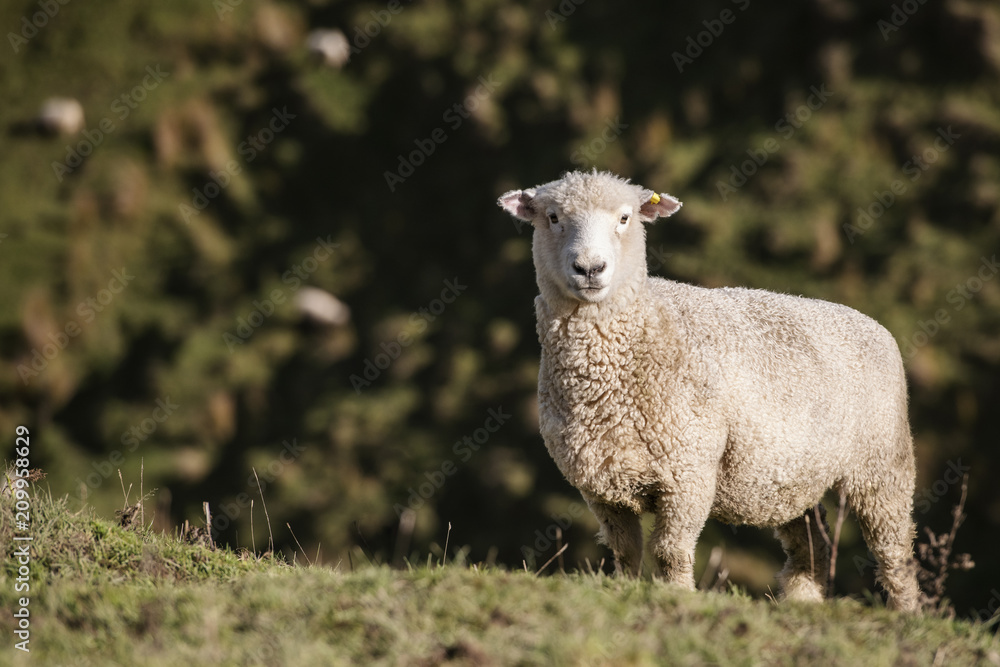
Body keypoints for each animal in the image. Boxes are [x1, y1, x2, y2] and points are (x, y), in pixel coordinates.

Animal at [500, 171, 920, 612]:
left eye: (625, 218)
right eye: (552, 217)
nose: (590, 268)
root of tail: (872, 324)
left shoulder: (690, 472)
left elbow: (669, 551)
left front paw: (677, 598)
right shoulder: (601, 484)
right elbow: (625, 552)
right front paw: (625, 592)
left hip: (883, 463)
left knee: (894, 552)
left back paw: (906, 614)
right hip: (792, 476)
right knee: (812, 545)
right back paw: (804, 603)